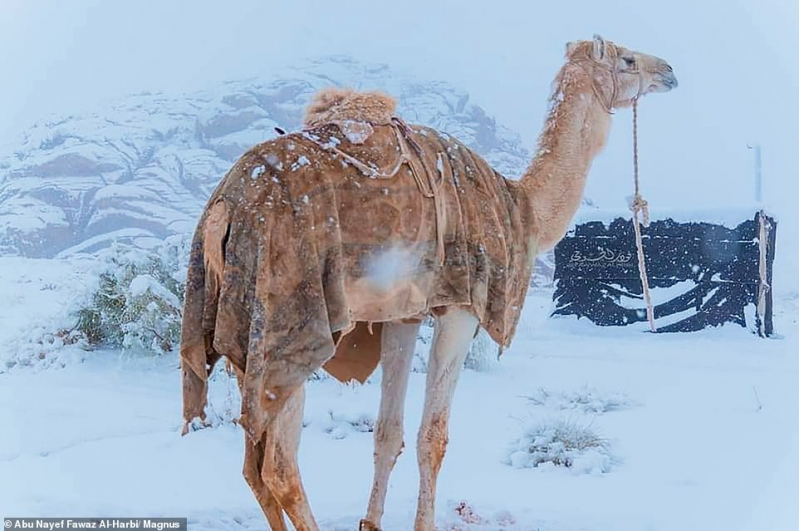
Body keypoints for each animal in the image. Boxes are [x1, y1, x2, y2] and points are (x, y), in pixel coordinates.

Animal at [180, 35, 676, 528]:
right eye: (628, 60)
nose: (668, 70)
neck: (520, 209)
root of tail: (223, 209)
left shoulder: (404, 314)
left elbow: (387, 433)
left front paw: (371, 523)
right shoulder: (461, 306)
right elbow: (432, 437)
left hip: (244, 329)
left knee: (254, 466)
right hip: (288, 321)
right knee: (279, 467)